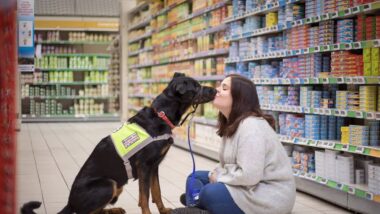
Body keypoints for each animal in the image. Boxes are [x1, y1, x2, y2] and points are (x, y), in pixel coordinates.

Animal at [20, 72, 217, 213]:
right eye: (196, 87)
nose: (215, 90)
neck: (161, 115)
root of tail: (70, 203)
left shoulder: (154, 167)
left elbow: (157, 192)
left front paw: (163, 210)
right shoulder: (145, 166)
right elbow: (145, 198)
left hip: (118, 186)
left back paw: (114, 210)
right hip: (109, 184)